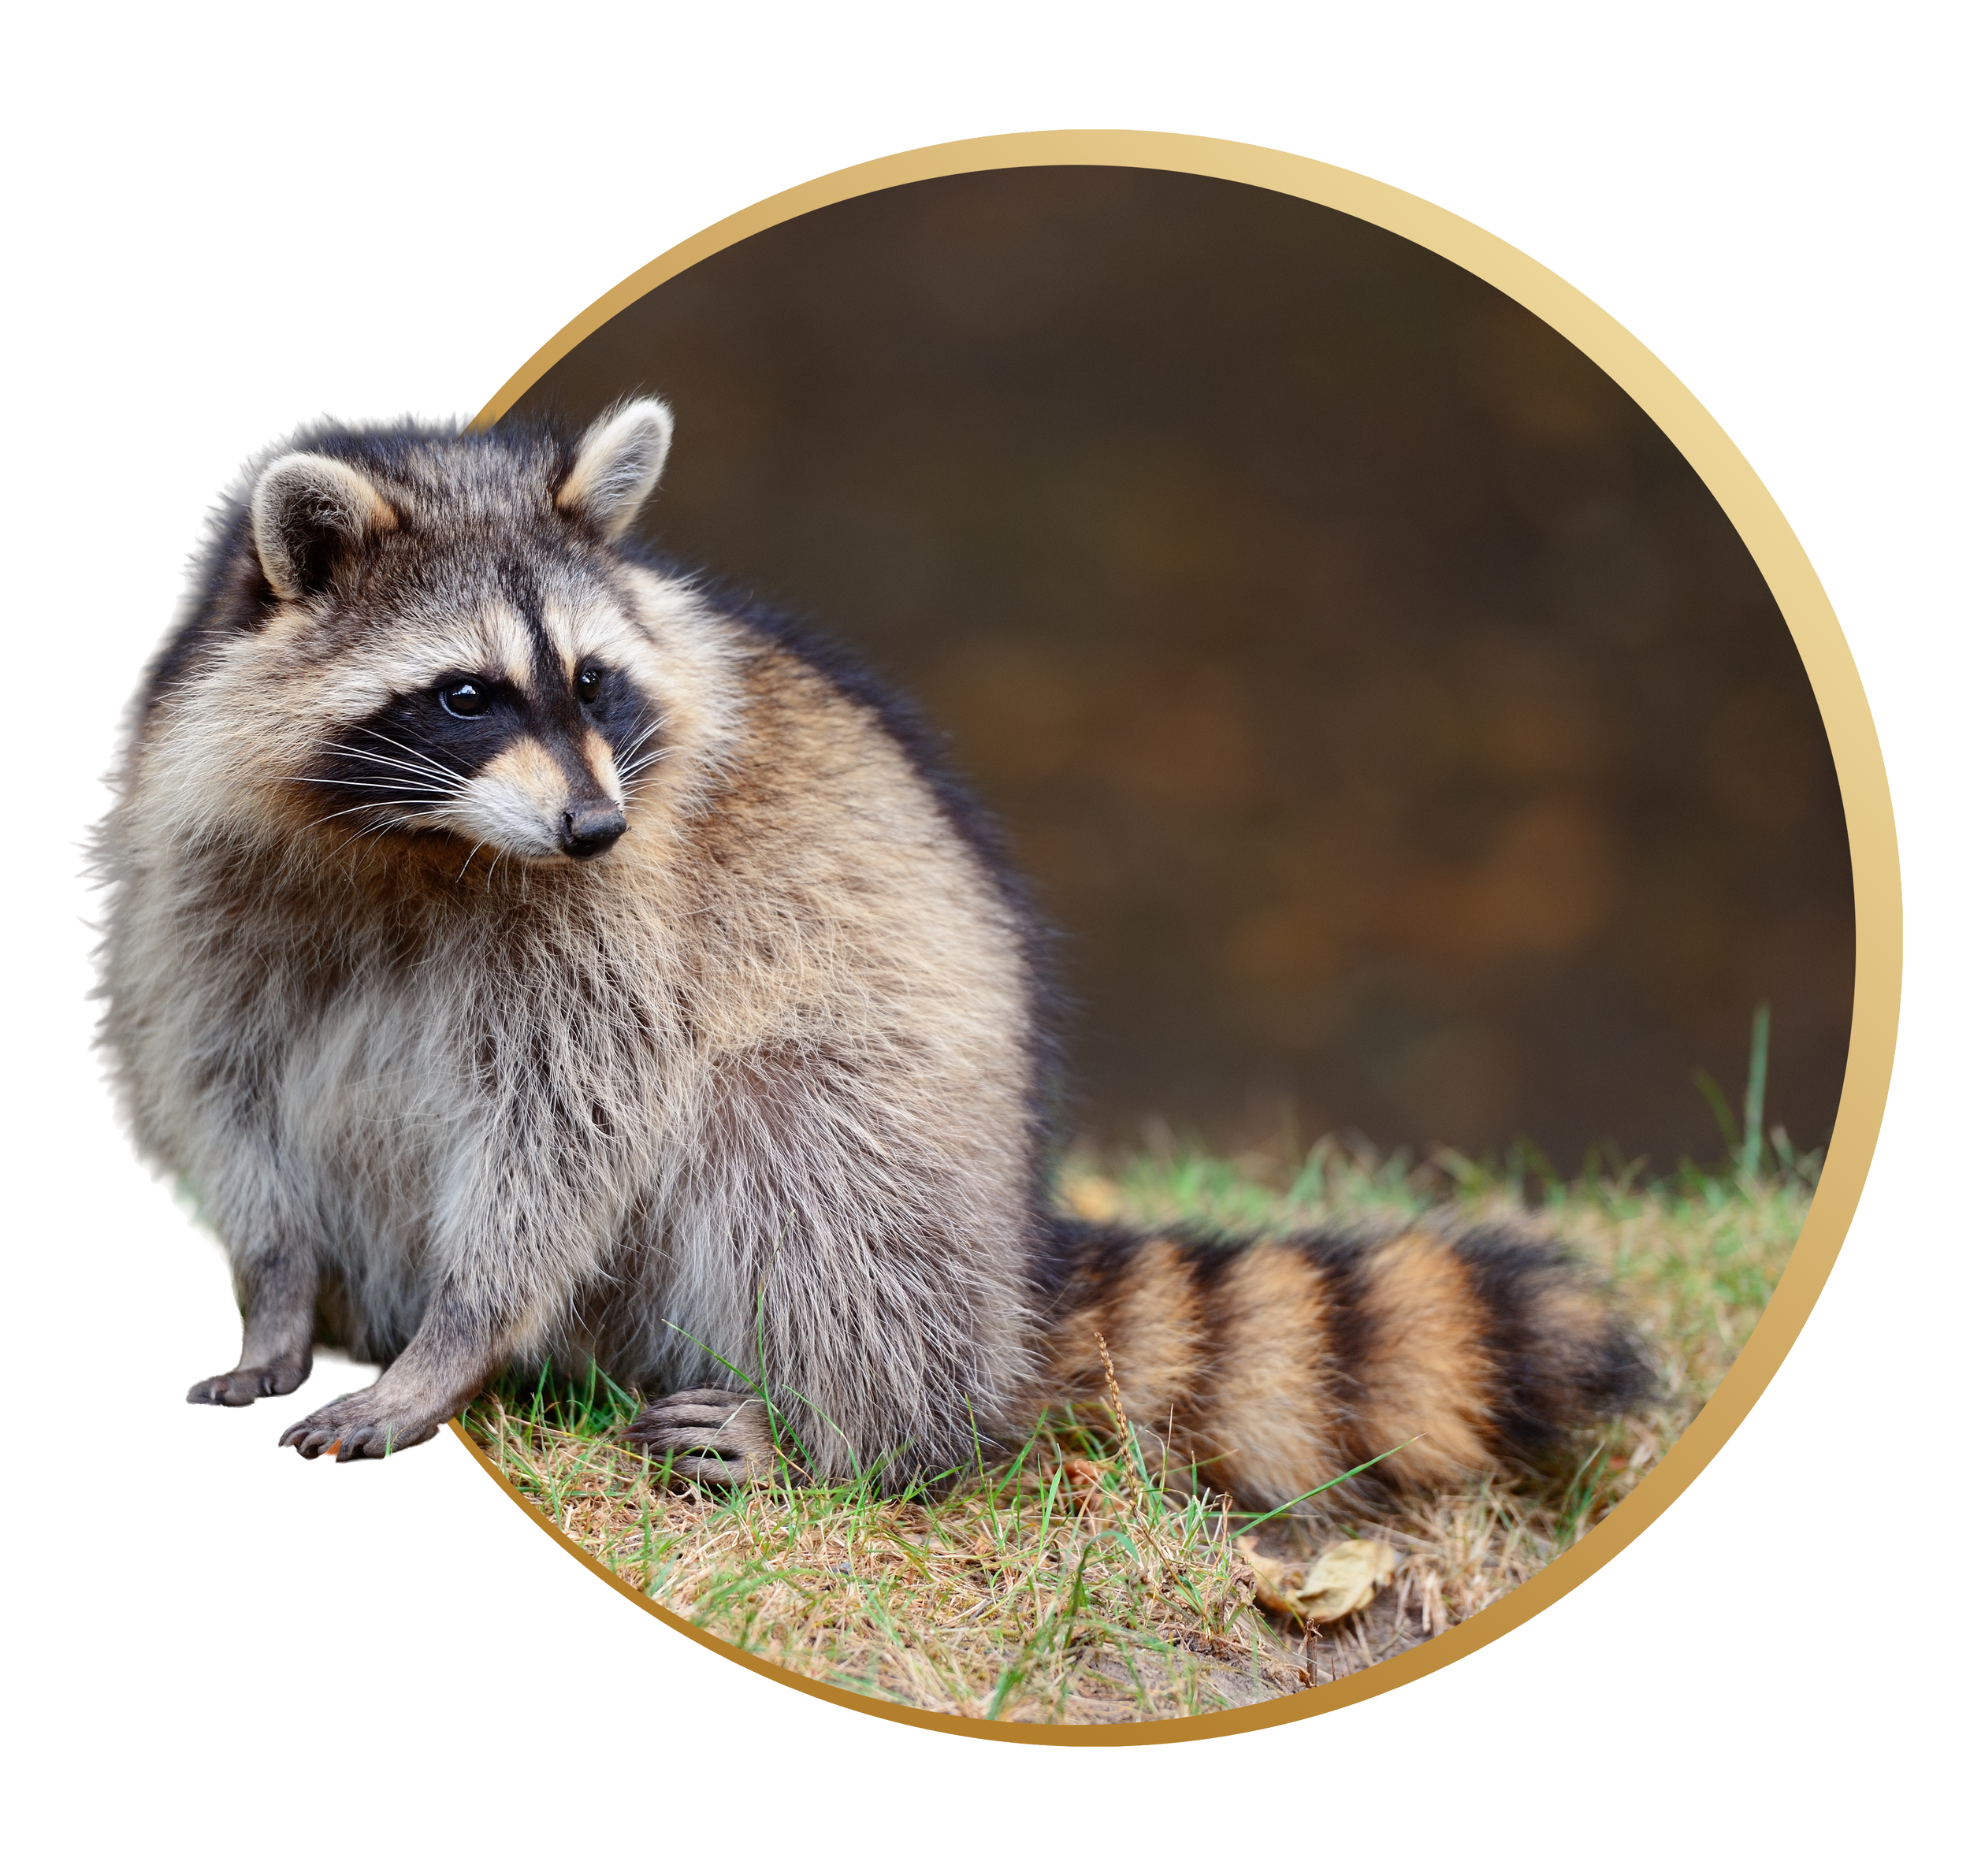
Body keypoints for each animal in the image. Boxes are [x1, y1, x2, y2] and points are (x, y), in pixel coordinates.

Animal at [97, 401, 1645, 1503]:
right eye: (466, 695)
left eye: (592, 680)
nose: (595, 823)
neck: (417, 838)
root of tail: (1016, 1258)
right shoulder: (200, 867)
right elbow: (218, 1075)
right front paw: (274, 1289)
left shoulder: (625, 919)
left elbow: (573, 1118)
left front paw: (458, 1336)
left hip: (906, 1141)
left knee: (799, 1155)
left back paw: (850, 1431)